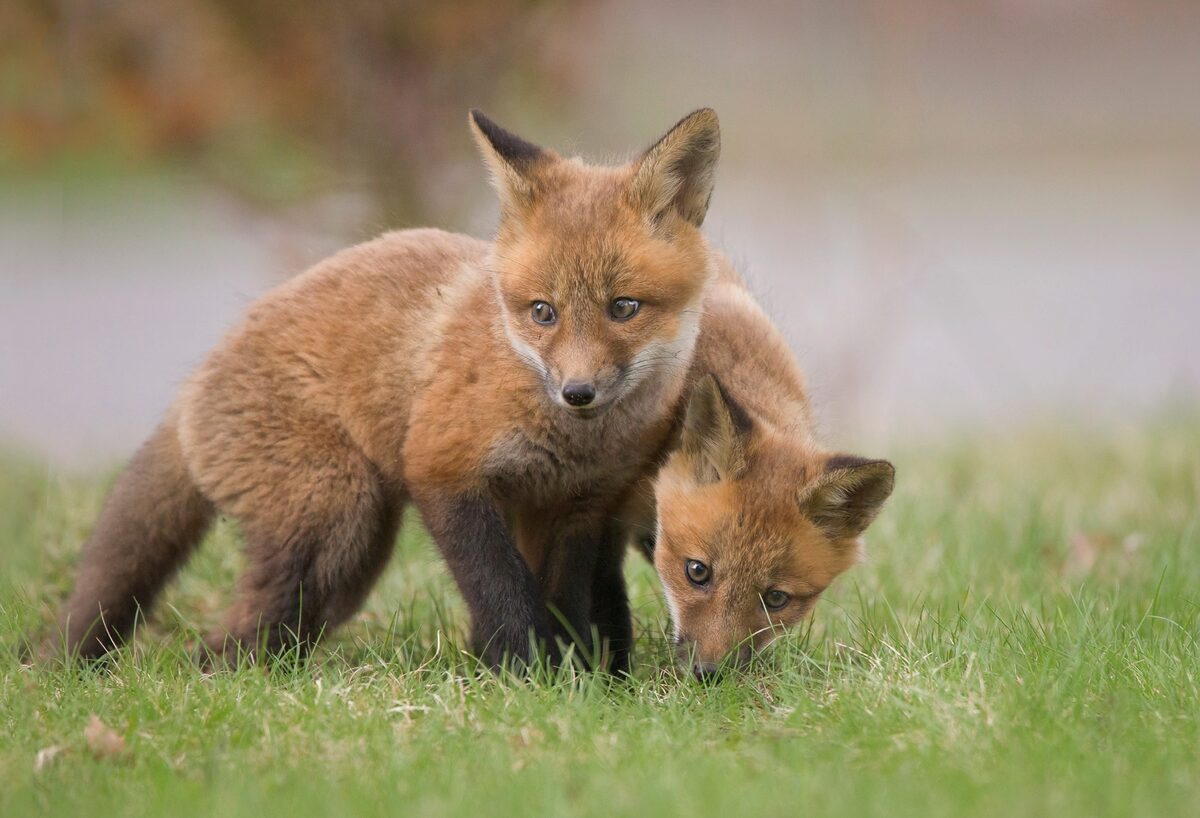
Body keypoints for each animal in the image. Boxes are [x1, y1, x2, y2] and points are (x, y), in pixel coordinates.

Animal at [58, 108, 722, 673]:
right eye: (543, 312)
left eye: (624, 308)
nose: (577, 391)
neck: (574, 441)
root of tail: (196, 377)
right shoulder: (442, 469)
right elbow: (501, 591)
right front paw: (525, 674)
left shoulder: (579, 508)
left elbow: (565, 604)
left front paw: (581, 682)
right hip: (336, 521)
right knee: (223, 646)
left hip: (349, 562)